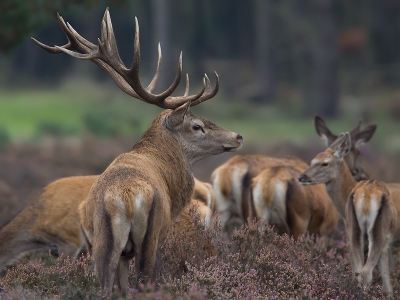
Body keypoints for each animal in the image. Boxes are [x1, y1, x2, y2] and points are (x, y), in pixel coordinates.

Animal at [31, 8, 242, 296]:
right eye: (196, 126)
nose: (237, 136)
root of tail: (126, 198)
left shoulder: (120, 252)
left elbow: (121, 288)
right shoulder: (162, 235)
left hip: (104, 242)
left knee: (105, 287)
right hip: (149, 238)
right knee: (145, 281)